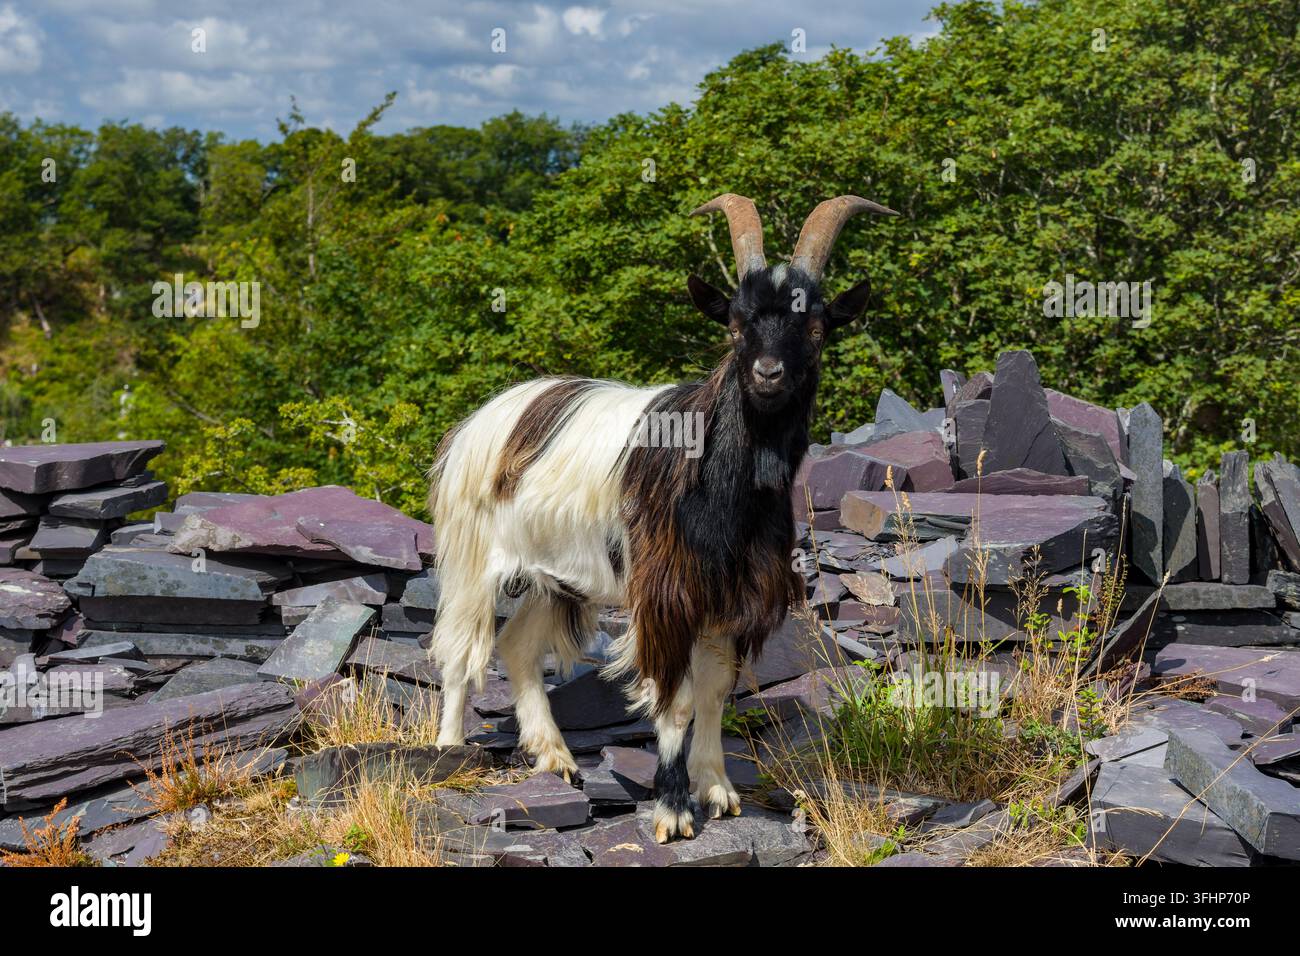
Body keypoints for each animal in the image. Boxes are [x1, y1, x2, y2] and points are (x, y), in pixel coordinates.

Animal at [429, 192, 897, 842]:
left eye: (816, 327)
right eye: (735, 326)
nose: (768, 374)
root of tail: (486, 416)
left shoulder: (732, 597)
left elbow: (715, 691)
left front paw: (718, 789)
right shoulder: (666, 594)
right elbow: (676, 700)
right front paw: (673, 812)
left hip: (557, 577)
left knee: (518, 646)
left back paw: (556, 758)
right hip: (473, 556)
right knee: (459, 645)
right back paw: (450, 748)